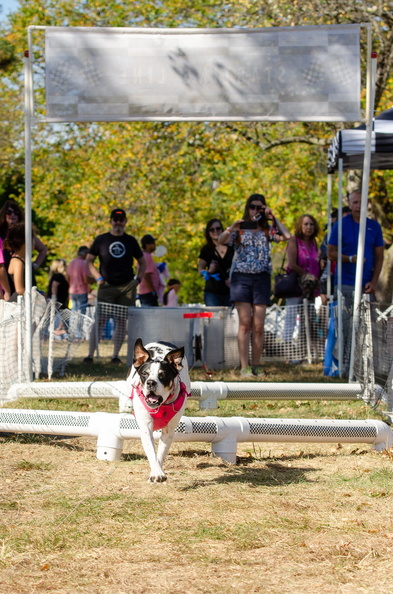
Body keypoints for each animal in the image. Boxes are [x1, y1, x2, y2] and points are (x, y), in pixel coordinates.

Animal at [123, 338, 189, 480]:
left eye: (163, 375)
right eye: (144, 374)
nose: (151, 382)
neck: (160, 406)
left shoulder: (169, 430)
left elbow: (161, 452)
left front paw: (159, 470)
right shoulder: (146, 427)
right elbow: (151, 450)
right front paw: (156, 472)